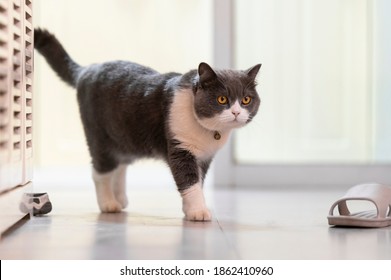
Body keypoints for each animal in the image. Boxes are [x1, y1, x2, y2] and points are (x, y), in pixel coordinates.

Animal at [33, 28, 260, 221]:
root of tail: (87, 69)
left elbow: (199, 181)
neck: (210, 133)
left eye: (246, 100)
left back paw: (120, 198)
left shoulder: (204, 158)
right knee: (100, 172)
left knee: (120, 165)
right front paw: (198, 211)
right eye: (222, 99)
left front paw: (189, 208)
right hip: (100, 138)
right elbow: (189, 181)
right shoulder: (181, 149)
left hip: (124, 138)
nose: (236, 112)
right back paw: (109, 203)